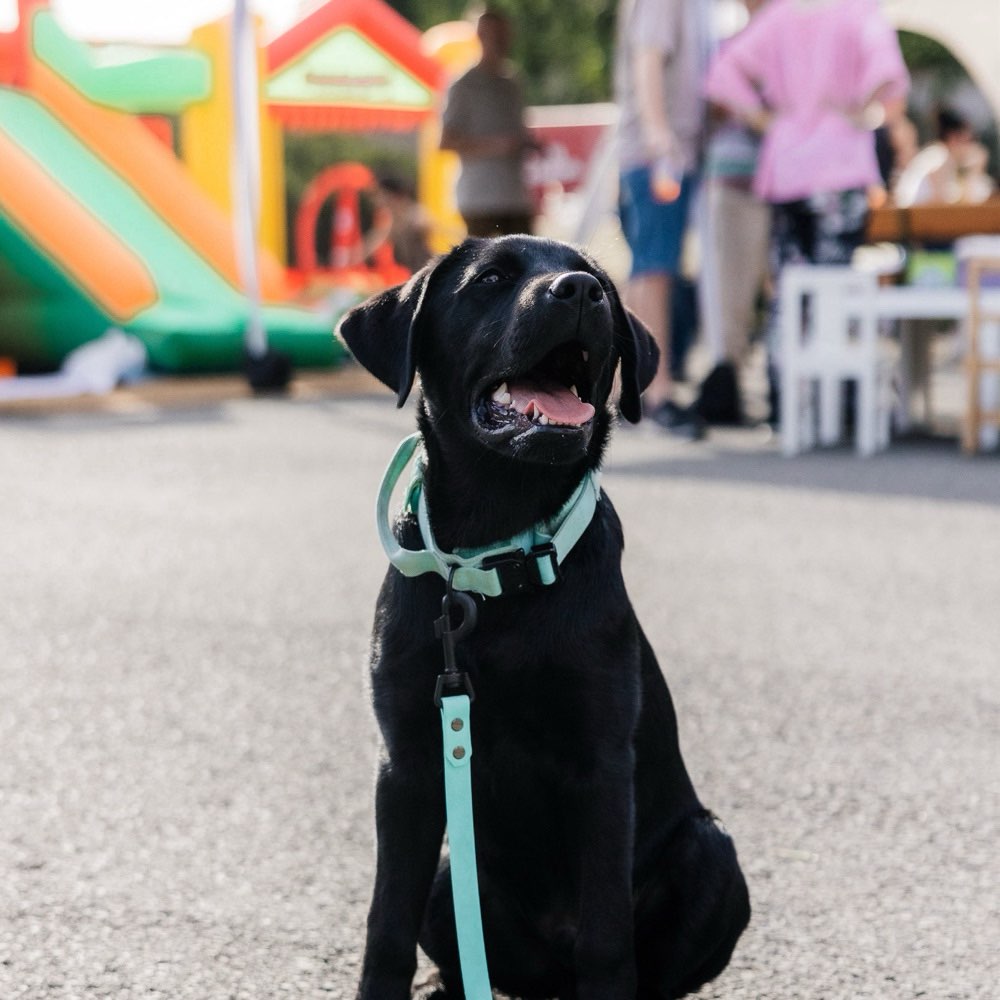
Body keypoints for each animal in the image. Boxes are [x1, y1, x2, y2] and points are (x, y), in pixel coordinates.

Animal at [340, 236, 748, 1000]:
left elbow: (607, 941)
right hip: (451, 875)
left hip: (711, 853)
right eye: (491, 279)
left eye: (602, 289)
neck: (497, 560)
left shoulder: (602, 763)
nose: (579, 291)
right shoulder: (406, 765)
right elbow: (386, 926)